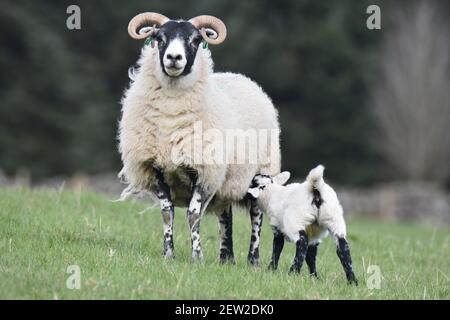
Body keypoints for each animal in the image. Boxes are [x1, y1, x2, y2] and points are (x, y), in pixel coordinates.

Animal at [118, 12, 280, 262]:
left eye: (195, 40)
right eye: (159, 37)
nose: (174, 58)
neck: (171, 114)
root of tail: (244, 78)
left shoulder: (203, 171)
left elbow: (193, 215)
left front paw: (197, 257)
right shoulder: (156, 169)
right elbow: (167, 213)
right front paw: (168, 254)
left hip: (262, 172)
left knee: (256, 217)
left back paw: (253, 260)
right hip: (225, 180)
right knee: (226, 215)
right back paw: (226, 258)